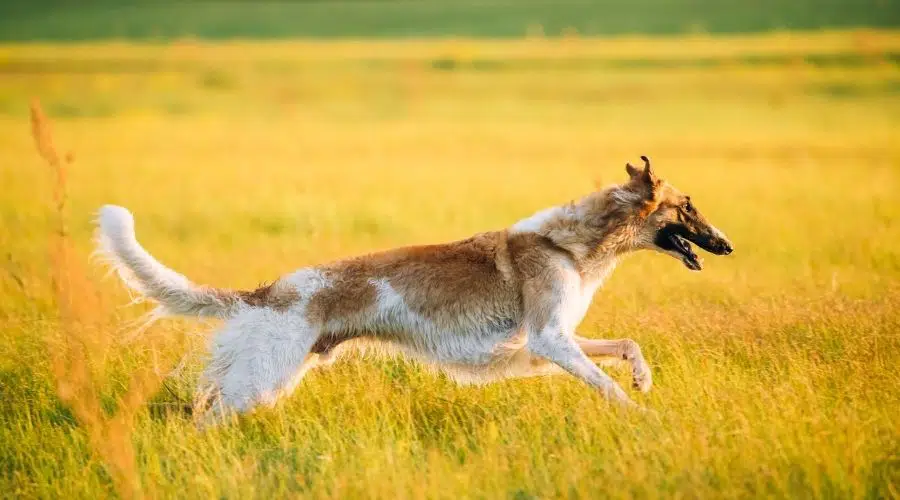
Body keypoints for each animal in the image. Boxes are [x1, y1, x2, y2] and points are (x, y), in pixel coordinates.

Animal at [96, 155, 732, 422]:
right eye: (688, 206)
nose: (726, 245)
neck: (570, 244)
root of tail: (266, 293)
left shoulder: (541, 348)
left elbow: (626, 348)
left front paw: (643, 380)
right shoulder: (549, 341)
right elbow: (607, 385)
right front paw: (641, 413)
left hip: (268, 378)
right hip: (260, 379)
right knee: (202, 419)